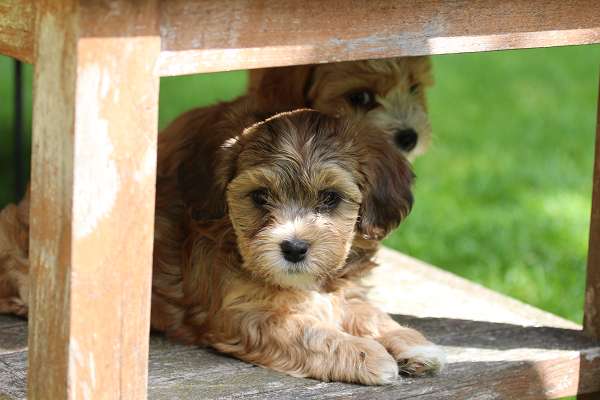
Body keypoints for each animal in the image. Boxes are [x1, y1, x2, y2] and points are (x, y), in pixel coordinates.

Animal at [150, 101, 445, 384]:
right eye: (260, 196)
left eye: (330, 197)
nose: (294, 249)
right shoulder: (244, 313)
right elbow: (308, 332)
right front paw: (365, 354)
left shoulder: (345, 290)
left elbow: (369, 312)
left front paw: (413, 344)